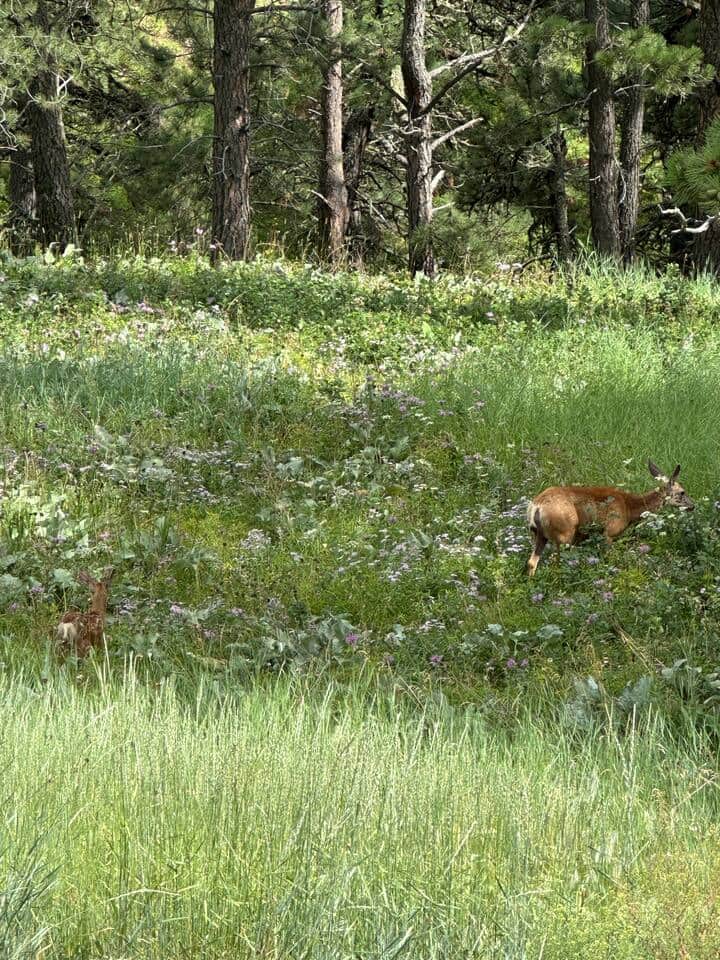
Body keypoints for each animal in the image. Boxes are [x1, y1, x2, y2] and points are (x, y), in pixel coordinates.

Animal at [526, 461, 694, 576]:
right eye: (682, 492)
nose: (693, 506)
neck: (629, 507)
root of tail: (537, 506)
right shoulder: (610, 532)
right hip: (565, 532)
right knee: (555, 561)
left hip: (539, 534)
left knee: (532, 562)